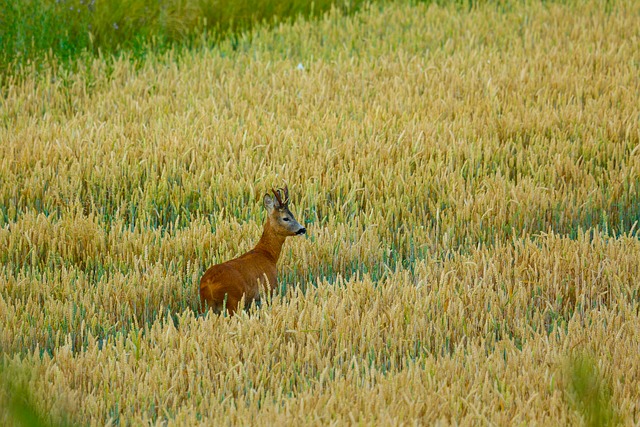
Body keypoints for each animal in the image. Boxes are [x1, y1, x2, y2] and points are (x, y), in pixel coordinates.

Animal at [200, 186, 308, 316]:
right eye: (286, 218)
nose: (303, 229)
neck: (267, 254)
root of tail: (208, 284)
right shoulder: (269, 288)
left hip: (206, 306)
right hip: (233, 302)